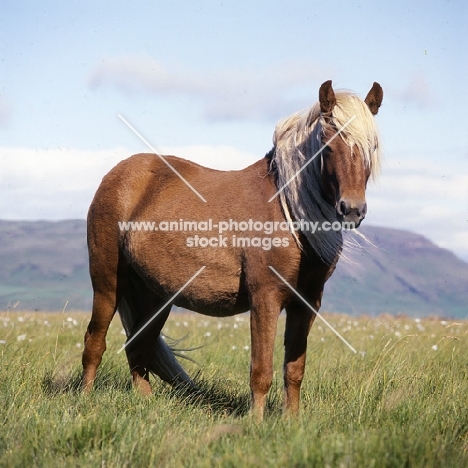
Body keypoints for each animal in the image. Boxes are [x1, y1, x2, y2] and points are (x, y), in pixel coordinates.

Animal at [82, 78, 382, 418]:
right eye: (327, 145)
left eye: (372, 147)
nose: (352, 210)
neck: (288, 210)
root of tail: (118, 175)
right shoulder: (265, 297)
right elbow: (261, 369)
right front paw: (256, 421)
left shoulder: (307, 303)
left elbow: (294, 369)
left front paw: (292, 420)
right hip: (108, 282)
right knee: (95, 340)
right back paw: (85, 398)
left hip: (155, 294)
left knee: (138, 347)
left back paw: (145, 403)